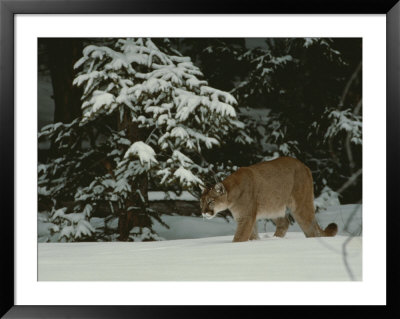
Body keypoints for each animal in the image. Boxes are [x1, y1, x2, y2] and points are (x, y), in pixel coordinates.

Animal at [200, 158, 338, 242]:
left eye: (210, 201)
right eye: (201, 202)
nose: (203, 212)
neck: (232, 193)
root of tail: (304, 166)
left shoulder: (245, 217)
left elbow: (239, 237)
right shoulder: (248, 217)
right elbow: (252, 234)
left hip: (300, 206)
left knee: (312, 230)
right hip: (273, 206)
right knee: (285, 222)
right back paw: (275, 239)